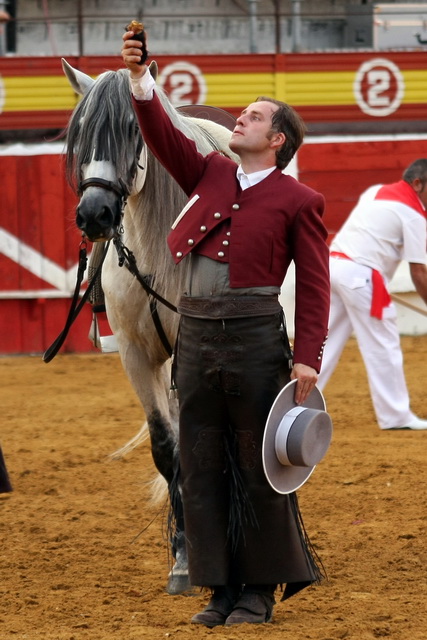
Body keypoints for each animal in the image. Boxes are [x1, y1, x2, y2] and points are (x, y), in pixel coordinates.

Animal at [61, 58, 239, 596]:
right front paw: (183, 558)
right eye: (80, 133)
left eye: (132, 132)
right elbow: (168, 447)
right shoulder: (137, 356)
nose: (94, 214)